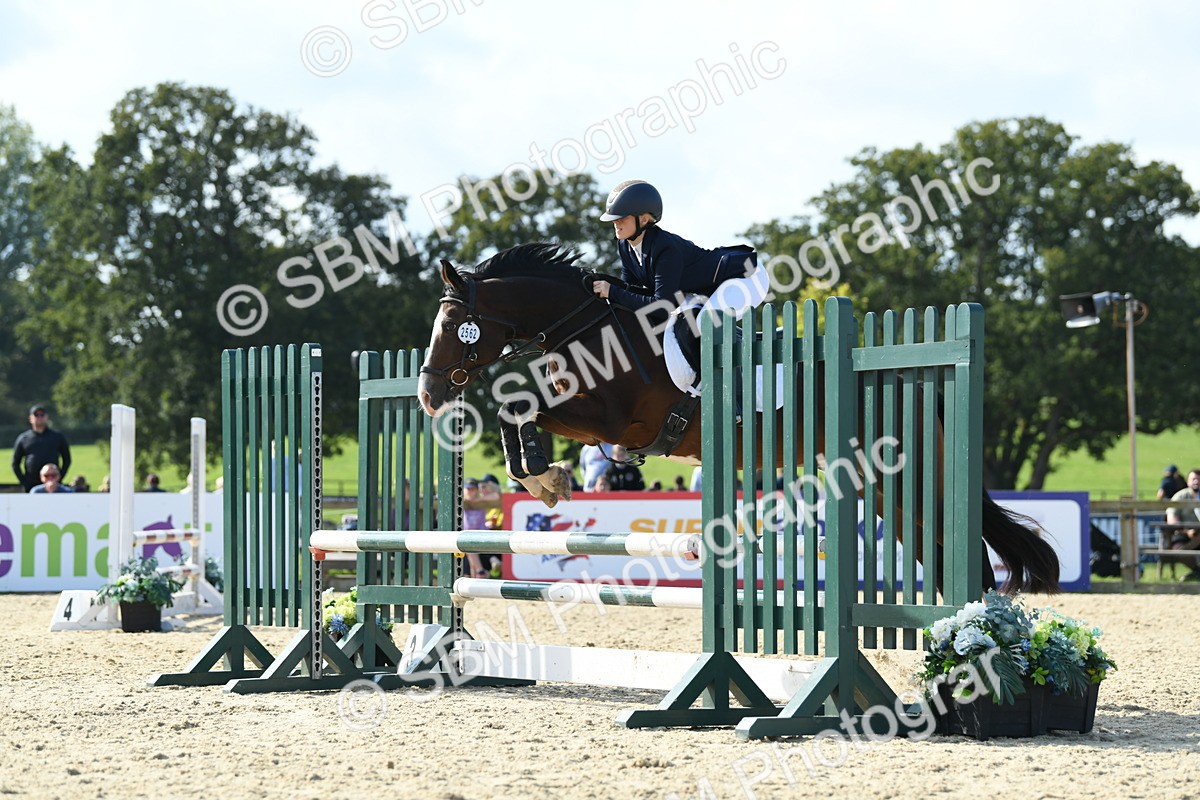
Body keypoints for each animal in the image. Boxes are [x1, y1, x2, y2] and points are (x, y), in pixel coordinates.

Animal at [417, 243, 1060, 594]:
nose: (426, 393)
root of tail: (914, 381)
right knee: (938, 549)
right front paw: (540, 479)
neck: (588, 325)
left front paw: (545, 477)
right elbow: (517, 408)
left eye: (454, 326)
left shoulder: (616, 422)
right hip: (884, 491)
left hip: (914, 479)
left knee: (965, 553)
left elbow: (522, 405)